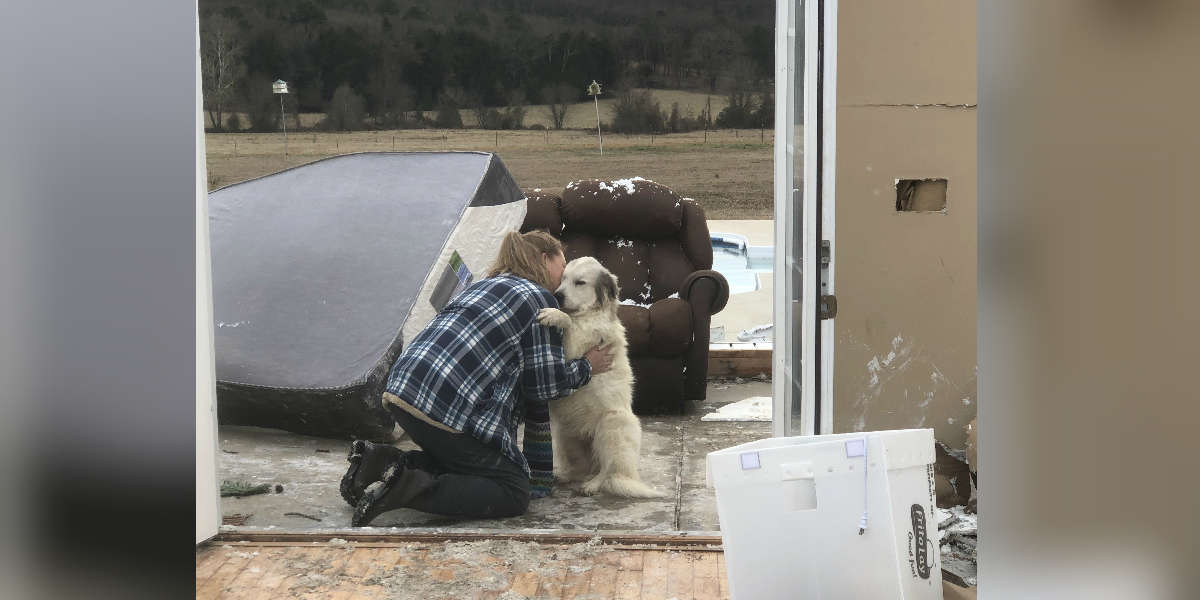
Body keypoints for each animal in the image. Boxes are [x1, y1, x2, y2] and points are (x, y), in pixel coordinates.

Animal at [537, 256, 667, 496]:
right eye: (563, 279)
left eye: (580, 282)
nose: (557, 295)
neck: (588, 314)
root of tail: (628, 475)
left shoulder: (578, 345)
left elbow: (570, 324)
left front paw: (555, 314)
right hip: (563, 433)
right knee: (581, 468)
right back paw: (565, 476)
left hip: (610, 425)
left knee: (607, 470)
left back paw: (592, 485)